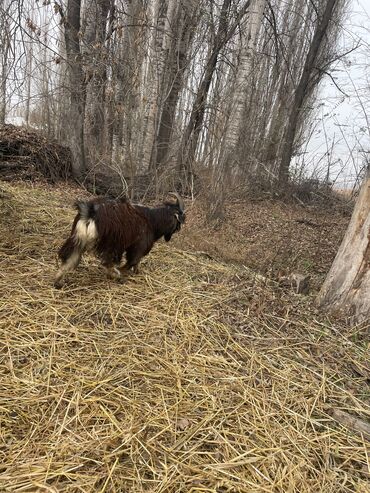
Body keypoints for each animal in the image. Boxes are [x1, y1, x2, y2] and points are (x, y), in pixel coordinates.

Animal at [54, 190, 185, 286]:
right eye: (179, 219)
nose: (178, 229)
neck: (152, 220)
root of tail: (90, 213)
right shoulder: (138, 246)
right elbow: (132, 261)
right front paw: (124, 272)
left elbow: (135, 262)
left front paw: (135, 272)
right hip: (111, 244)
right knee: (107, 262)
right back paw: (117, 276)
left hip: (77, 239)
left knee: (70, 257)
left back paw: (58, 281)